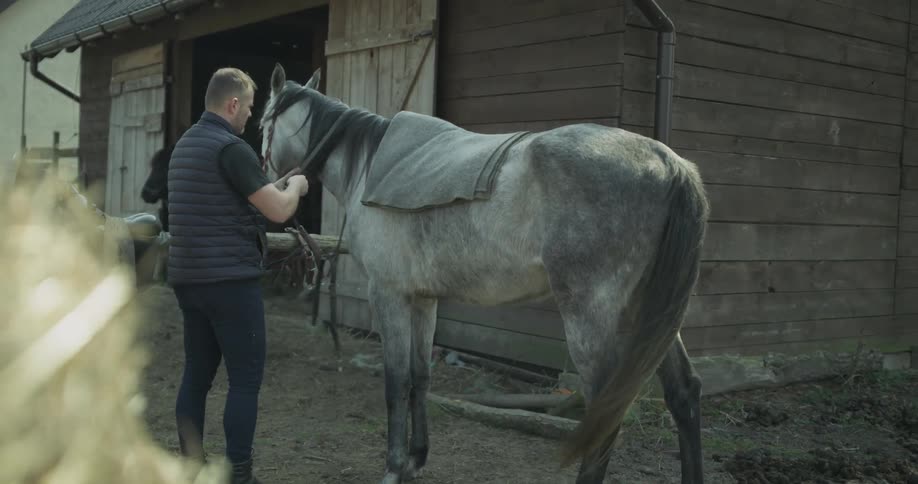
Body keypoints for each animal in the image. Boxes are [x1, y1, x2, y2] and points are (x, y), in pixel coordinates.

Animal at [259, 63, 710, 484]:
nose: (266, 188)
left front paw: (393, 467)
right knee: (683, 392)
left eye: (262, 123)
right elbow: (421, 376)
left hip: (591, 316)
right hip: (651, 312)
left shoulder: (387, 294)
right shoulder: (423, 298)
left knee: (606, 408)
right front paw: (416, 459)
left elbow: (396, 382)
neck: (368, 166)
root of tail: (667, 162)